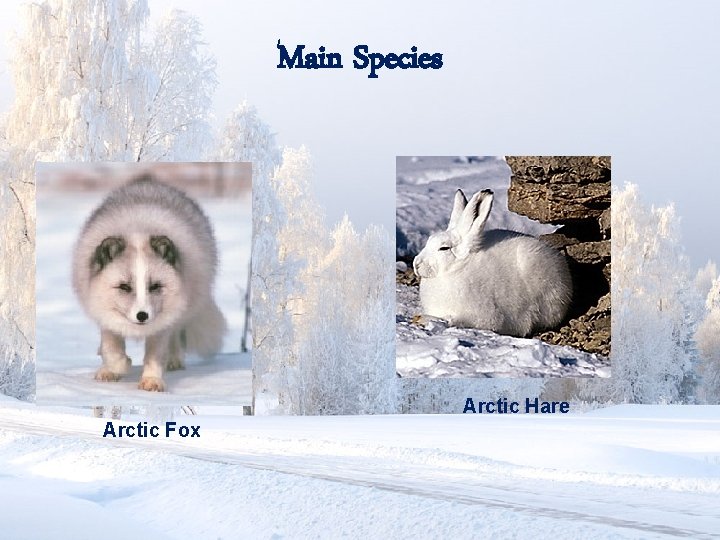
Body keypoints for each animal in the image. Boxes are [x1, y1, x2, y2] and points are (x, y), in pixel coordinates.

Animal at [72, 176, 226, 392]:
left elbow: (155, 356)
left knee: (176, 336)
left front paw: (152, 381)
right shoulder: (104, 314)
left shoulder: (162, 325)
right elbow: (112, 349)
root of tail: (150, 183)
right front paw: (117, 367)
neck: (137, 230)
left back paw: (174, 360)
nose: (142, 315)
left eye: (154, 286)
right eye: (124, 287)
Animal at [413, 189, 572, 338]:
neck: (457, 267)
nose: (416, 264)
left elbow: (453, 320)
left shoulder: (483, 315)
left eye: (444, 248)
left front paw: (424, 319)